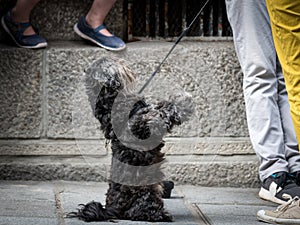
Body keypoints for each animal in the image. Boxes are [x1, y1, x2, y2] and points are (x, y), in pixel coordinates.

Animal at [68, 57, 193, 221]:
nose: (121, 59)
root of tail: (111, 209)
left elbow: (160, 106)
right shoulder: (147, 124)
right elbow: (164, 111)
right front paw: (183, 100)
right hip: (145, 191)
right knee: (141, 211)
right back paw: (161, 215)